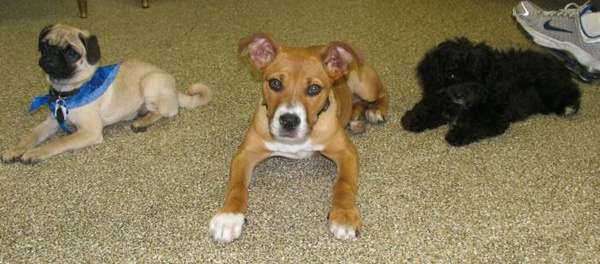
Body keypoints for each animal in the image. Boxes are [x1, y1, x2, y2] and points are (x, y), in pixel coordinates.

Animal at [1, 24, 213, 164]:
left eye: (71, 53)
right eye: (45, 45)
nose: (52, 54)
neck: (67, 92)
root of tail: (175, 88)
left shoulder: (89, 132)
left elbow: (60, 142)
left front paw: (35, 153)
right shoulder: (51, 123)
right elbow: (30, 136)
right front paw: (16, 150)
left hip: (150, 83)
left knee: (164, 112)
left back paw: (142, 122)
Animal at [210, 33, 390, 243]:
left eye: (314, 88)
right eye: (275, 83)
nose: (289, 121)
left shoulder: (346, 151)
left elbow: (344, 184)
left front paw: (344, 216)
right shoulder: (245, 153)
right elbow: (236, 186)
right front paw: (228, 217)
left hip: (364, 84)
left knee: (383, 93)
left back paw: (376, 111)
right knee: (357, 104)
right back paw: (356, 120)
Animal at [404, 36, 580, 146]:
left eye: (474, 78)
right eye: (452, 75)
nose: (458, 95)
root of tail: (561, 67)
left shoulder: (495, 118)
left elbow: (476, 125)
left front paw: (457, 134)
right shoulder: (441, 94)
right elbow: (431, 106)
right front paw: (414, 119)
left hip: (551, 89)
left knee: (572, 92)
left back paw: (568, 108)